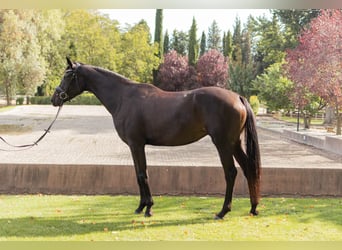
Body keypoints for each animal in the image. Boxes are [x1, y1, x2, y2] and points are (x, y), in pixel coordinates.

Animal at [50, 57, 260, 219]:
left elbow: (143, 174)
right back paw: (253, 208)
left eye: (67, 75)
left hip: (223, 143)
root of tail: (238, 97)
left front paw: (148, 208)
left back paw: (223, 212)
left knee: (231, 172)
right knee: (248, 168)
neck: (123, 97)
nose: (54, 99)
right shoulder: (134, 146)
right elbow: (138, 174)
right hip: (234, 143)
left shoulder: (137, 144)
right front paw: (140, 206)